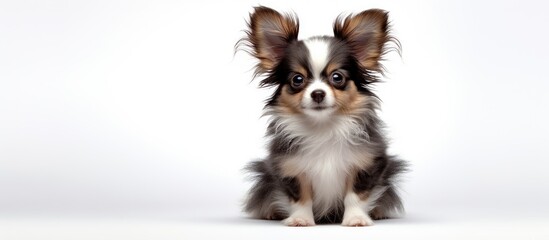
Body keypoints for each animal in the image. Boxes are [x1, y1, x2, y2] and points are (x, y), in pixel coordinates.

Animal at [239, 6, 406, 227]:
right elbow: (301, 197)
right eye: (297, 79)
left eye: (337, 77)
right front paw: (300, 219)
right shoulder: (289, 167)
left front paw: (356, 219)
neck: (323, 127)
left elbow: (355, 195)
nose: (318, 93)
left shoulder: (366, 164)